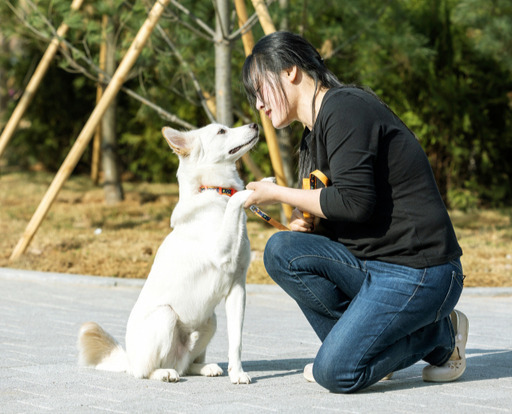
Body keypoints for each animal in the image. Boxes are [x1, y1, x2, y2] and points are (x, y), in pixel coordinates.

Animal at [77, 123, 260, 384]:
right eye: (221, 131)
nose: (255, 124)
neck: (214, 191)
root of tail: (129, 359)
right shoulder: (221, 251)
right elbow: (236, 200)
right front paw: (257, 186)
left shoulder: (237, 287)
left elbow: (236, 340)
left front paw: (237, 374)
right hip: (166, 316)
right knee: (144, 372)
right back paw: (163, 373)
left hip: (210, 320)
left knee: (186, 364)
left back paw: (205, 367)